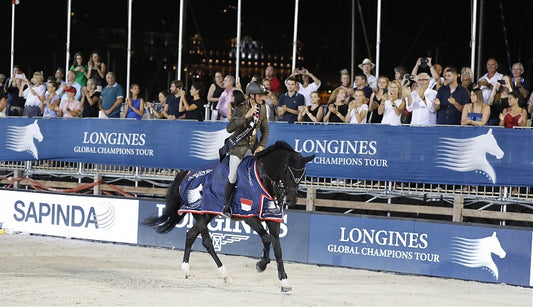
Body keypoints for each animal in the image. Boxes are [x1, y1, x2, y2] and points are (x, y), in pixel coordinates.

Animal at [143, 142, 314, 294]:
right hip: (199, 214)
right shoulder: (248, 216)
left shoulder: (272, 219)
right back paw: (225, 275)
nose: (291, 200)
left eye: (303, 175)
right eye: (287, 171)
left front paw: (285, 283)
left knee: (190, 235)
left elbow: (278, 249)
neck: (262, 178)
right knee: (207, 242)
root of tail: (186, 174)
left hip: (207, 214)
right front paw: (261, 265)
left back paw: (187, 271)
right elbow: (266, 239)